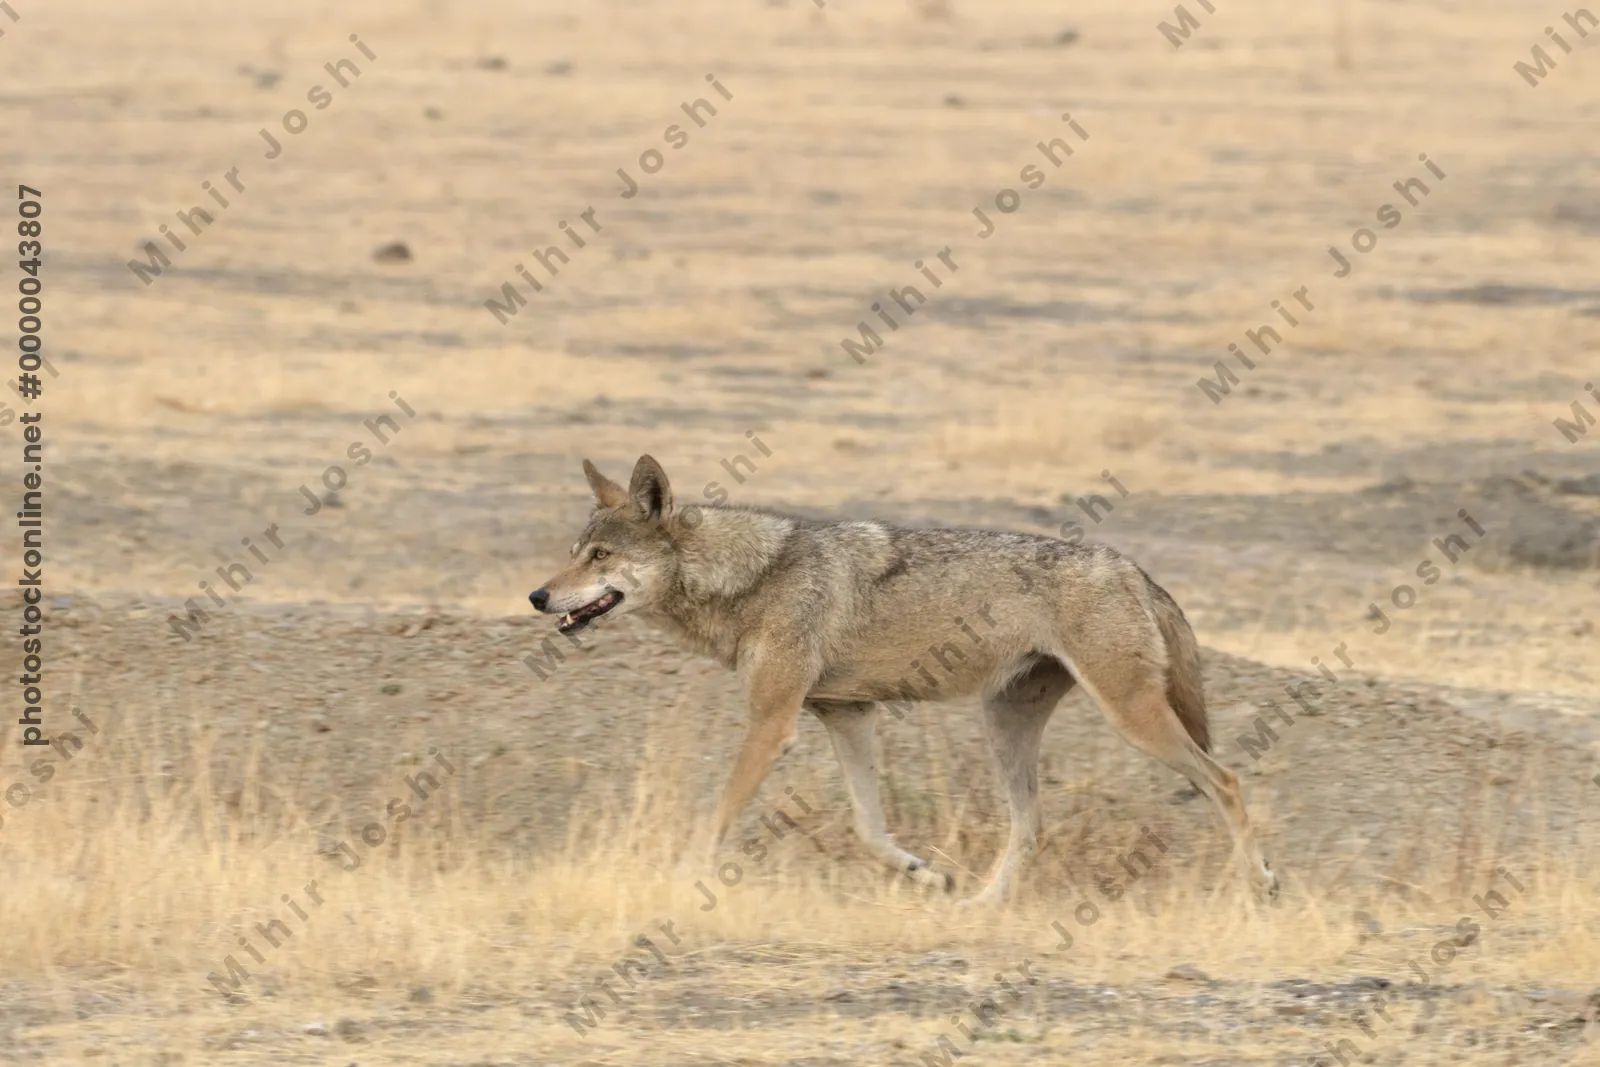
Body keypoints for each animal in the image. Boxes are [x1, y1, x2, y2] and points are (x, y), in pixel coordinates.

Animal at [529, 455, 1278, 904]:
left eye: (601, 556)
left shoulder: (773, 724)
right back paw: (980, 905)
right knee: (1031, 826)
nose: (538, 596)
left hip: (1129, 717)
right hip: (1004, 726)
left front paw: (678, 880)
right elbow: (869, 828)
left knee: (1227, 781)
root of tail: (1132, 567)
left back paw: (1258, 886)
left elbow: (717, 817)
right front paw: (926, 872)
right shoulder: (847, 715)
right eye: (574, 553)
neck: (750, 578)